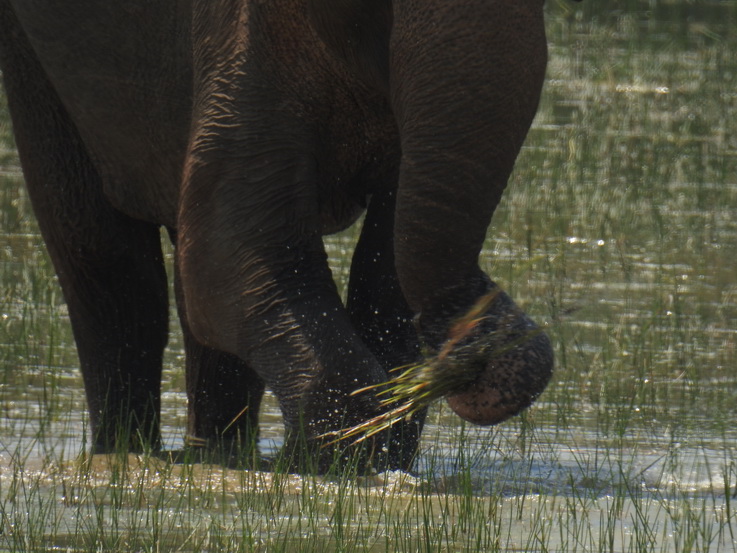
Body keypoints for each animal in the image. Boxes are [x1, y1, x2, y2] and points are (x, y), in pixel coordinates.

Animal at [0, 0, 552, 472]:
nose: (471, 356)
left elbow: (385, 261)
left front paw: (372, 446)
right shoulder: (240, 35)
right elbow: (230, 252)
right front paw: (328, 460)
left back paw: (215, 454)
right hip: (35, 50)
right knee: (105, 255)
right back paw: (127, 453)